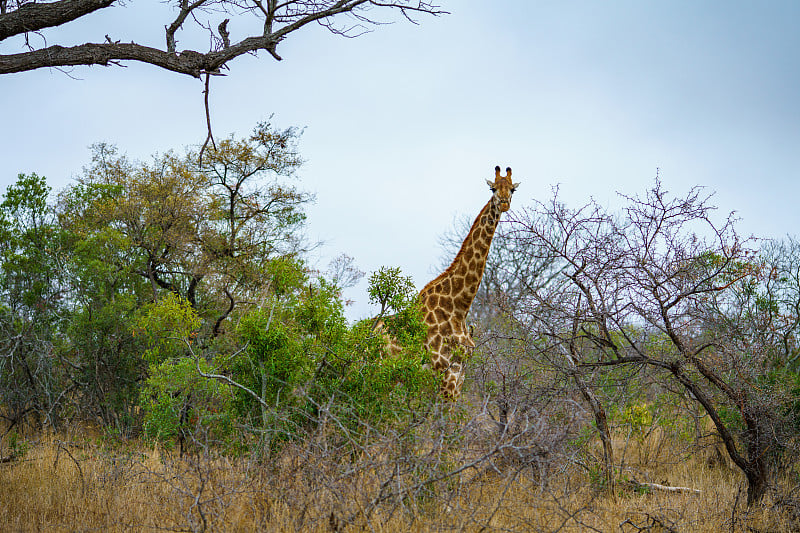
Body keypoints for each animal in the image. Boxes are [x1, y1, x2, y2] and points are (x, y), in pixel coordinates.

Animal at [418, 166, 520, 400]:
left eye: (512, 189)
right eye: (493, 188)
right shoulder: (445, 372)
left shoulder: (461, 374)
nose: (503, 203)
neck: (459, 308)